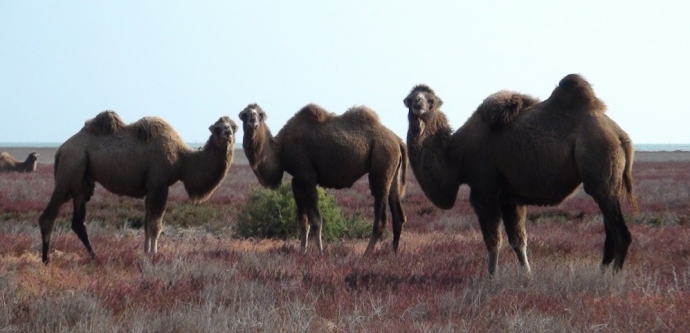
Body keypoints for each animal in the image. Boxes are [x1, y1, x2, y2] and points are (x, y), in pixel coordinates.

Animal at [38, 110, 236, 264]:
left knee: (78, 222)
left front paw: (146, 252)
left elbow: (147, 223)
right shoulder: (159, 184)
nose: (227, 132)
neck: (182, 159)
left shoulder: (150, 188)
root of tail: (60, 150)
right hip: (72, 166)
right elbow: (155, 224)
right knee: (49, 216)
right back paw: (46, 259)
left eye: (234, 126)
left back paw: (95, 256)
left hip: (84, 181)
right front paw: (154, 254)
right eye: (218, 128)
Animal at [238, 102, 406, 253]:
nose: (253, 120)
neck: (280, 149)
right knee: (398, 215)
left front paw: (319, 252)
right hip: (392, 172)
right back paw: (393, 253)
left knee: (380, 217)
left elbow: (316, 221)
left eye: (259, 114)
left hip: (382, 163)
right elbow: (303, 220)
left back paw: (366, 255)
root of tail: (398, 140)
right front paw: (302, 251)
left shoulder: (307, 177)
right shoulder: (296, 181)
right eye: (245, 114)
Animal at [404, 74, 636, 274]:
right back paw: (602, 272)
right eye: (410, 98)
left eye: (430, 100)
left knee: (621, 233)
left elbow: (493, 241)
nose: (418, 104)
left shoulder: (484, 189)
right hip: (609, 182)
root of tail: (619, 134)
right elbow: (518, 241)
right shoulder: (509, 198)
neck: (456, 155)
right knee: (610, 230)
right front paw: (527, 276)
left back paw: (613, 277)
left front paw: (491, 278)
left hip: (600, 168)